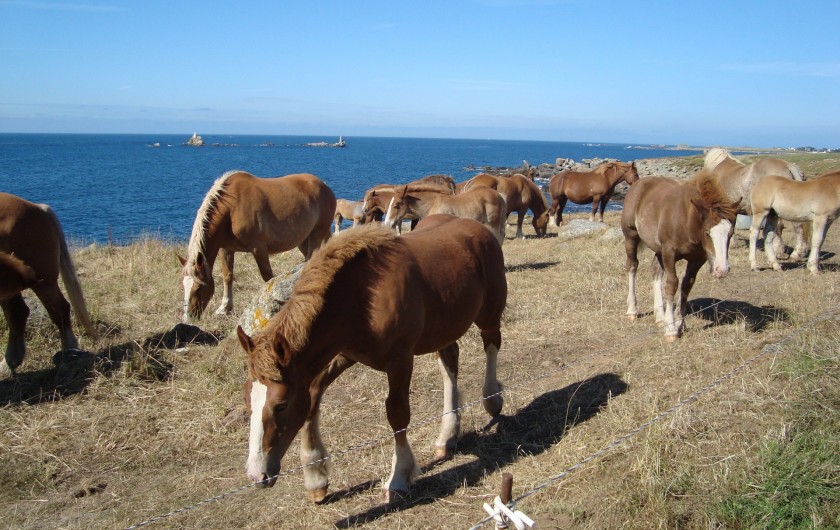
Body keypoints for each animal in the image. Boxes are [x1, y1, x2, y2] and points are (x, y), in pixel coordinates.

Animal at [179, 171, 335, 322]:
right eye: (183, 287)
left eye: (198, 288)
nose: (188, 318)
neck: (232, 209)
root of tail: (325, 187)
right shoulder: (226, 249)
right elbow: (227, 276)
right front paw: (224, 308)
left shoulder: (258, 248)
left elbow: (268, 277)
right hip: (303, 241)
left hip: (316, 234)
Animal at [236, 214, 507, 502]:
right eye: (247, 401)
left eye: (281, 405)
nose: (257, 475)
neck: (360, 298)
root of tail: (477, 227)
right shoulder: (343, 355)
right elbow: (313, 397)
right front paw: (316, 477)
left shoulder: (400, 360)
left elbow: (397, 413)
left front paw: (398, 477)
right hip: (444, 326)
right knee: (450, 362)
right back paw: (447, 436)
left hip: (488, 315)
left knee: (491, 344)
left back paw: (492, 399)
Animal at [621, 173, 740, 341]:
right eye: (707, 233)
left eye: (731, 233)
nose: (721, 270)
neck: (687, 220)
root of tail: (638, 183)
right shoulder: (669, 252)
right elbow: (672, 284)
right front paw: (671, 330)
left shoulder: (698, 258)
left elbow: (686, 285)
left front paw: (679, 324)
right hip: (631, 236)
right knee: (632, 265)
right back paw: (632, 310)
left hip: (658, 249)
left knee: (656, 270)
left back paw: (660, 316)